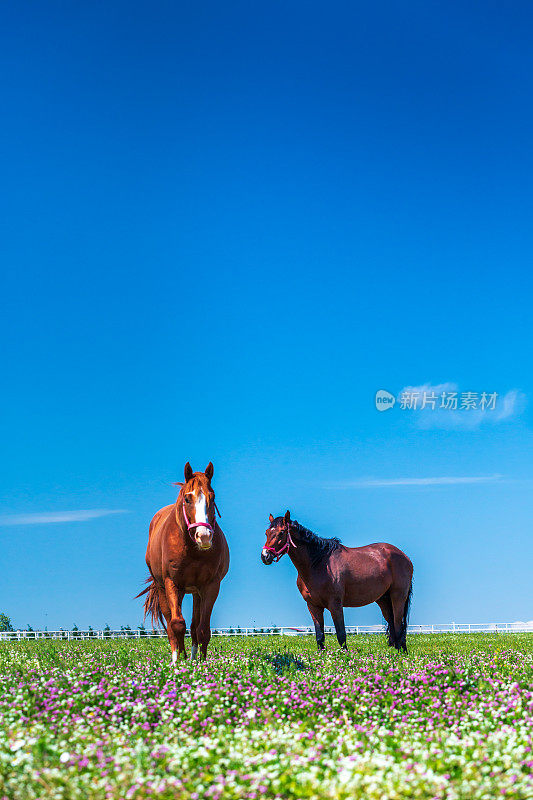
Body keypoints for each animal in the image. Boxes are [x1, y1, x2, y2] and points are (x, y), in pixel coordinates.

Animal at [137, 462, 229, 664]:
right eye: (187, 499)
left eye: (212, 497)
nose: (204, 536)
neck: (192, 550)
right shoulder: (172, 583)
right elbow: (177, 624)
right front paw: (177, 663)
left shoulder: (210, 586)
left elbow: (202, 630)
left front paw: (202, 664)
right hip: (163, 588)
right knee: (171, 625)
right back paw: (178, 656)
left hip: (195, 592)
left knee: (195, 626)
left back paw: (193, 658)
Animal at [260, 510, 412, 652]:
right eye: (266, 532)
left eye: (281, 533)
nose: (265, 556)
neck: (318, 563)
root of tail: (404, 556)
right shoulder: (313, 606)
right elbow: (320, 637)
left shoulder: (335, 604)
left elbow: (341, 635)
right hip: (383, 600)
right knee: (393, 626)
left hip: (398, 597)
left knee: (399, 626)